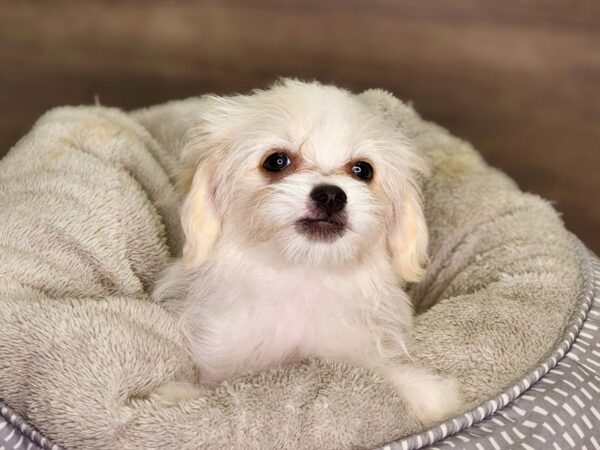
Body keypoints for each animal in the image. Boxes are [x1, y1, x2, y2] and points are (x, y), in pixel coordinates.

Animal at [152, 79, 462, 428]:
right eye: (276, 161)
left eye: (363, 170)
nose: (330, 196)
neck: (302, 275)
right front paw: (178, 398)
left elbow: (380, 369)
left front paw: (426, 393)